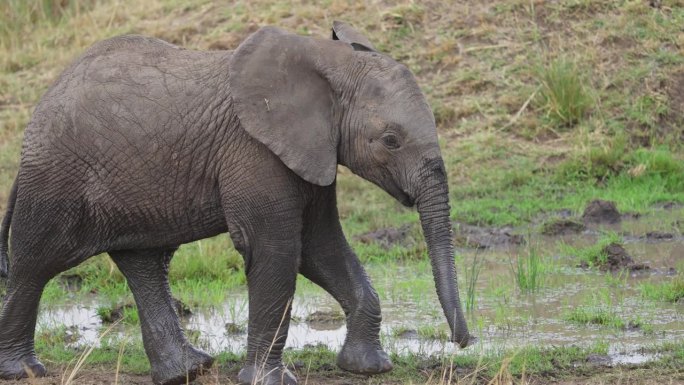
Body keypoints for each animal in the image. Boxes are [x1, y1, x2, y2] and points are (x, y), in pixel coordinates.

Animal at [0, 21, 470, 384]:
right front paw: (268, 380)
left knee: (145, 262)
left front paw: (368, 368)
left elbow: (321, 247)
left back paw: (188, 371)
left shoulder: (311, 150)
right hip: (58, 177)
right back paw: (23, 370)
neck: (328, 64)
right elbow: (276, 250)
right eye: (390, 141)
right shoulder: (254, 150)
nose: (462, 341)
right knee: (35, 263)